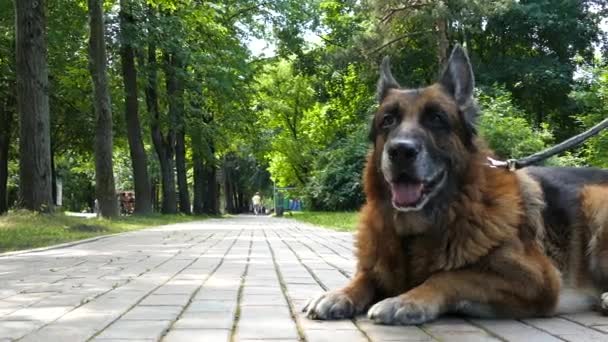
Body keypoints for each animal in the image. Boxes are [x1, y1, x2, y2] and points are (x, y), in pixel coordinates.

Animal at [304, 44, 608, 324]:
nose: (401, 151)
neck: (417, 232)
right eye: (387, 120)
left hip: (595, 202)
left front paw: (406, 300)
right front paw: (339, 294)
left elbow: (449, 276)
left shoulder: (535, 278)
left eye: (437, 119)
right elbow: (365, 278)